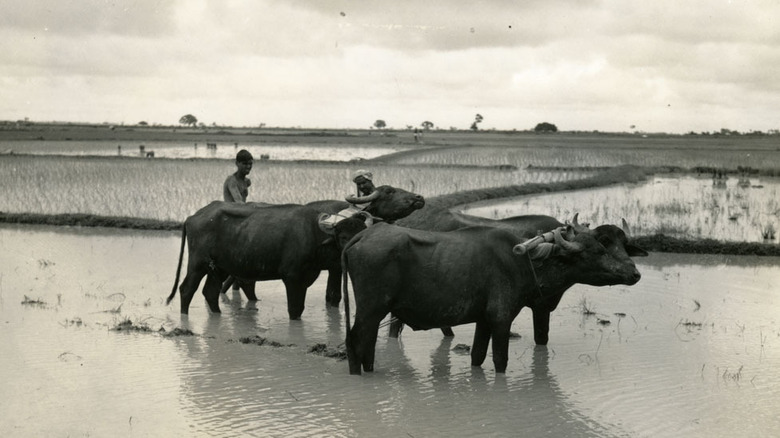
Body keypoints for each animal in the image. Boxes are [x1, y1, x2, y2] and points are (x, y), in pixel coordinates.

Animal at [168, 185, 424, 318]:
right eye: (389, 191)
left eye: (361, 233)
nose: (419, 197)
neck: (314, 233)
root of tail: (193, 216)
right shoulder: (293, 278)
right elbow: (298, 308)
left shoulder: (316, 274)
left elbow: (329, 298)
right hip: (197, 264)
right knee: (187, 289)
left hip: (220, 267)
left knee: (211, 292)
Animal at [342, 217, 644, 374]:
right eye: (600, 248)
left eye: (622, 245)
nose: (634, 274)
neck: (526, 261)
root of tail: (363, 236)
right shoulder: (501, 320)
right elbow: (500, 360)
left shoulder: (483, 321)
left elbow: (477, 356)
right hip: (370, 310)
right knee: (355, 342)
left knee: (366, 345)